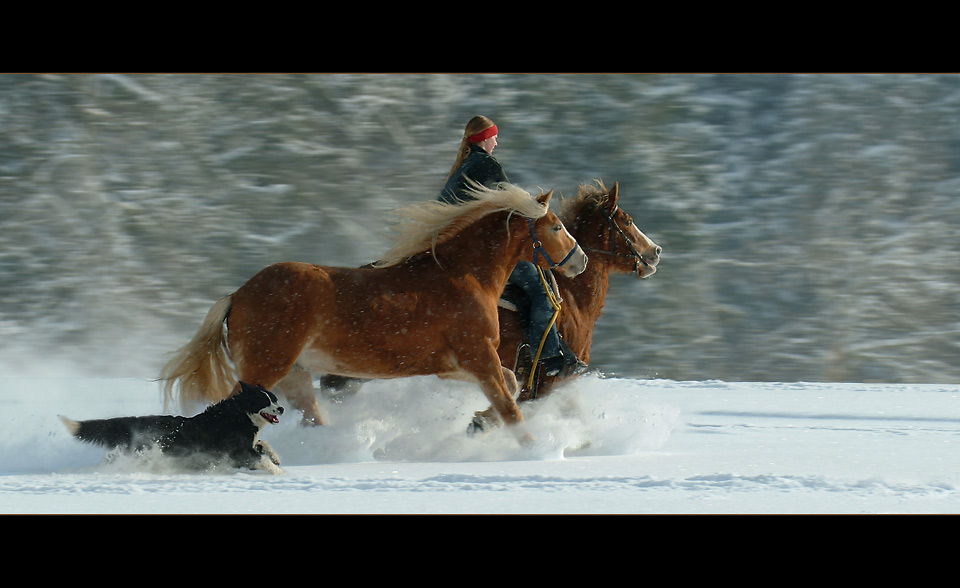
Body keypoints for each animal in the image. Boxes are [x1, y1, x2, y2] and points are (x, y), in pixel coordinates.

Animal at [60, 382, 284, 474]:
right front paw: (281, 474)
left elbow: (263, 443)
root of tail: (134, 422)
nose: (281, 408)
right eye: (264, 401)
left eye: (274, 398)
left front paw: (276, 458)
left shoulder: (245, 448)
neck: (240, 413)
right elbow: (261, 459)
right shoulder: (238, 453)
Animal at [158, 185, 588, 440]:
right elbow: (511, 406)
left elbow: (511, 387)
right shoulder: (478, 355)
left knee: (312, 416)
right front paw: (529, 451)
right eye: (555, 226)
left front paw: (479, 422)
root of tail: (237, 295)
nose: (580, 260)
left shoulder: (456, 365)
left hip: (294, 375)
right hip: (267, 366)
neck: (463, 275)